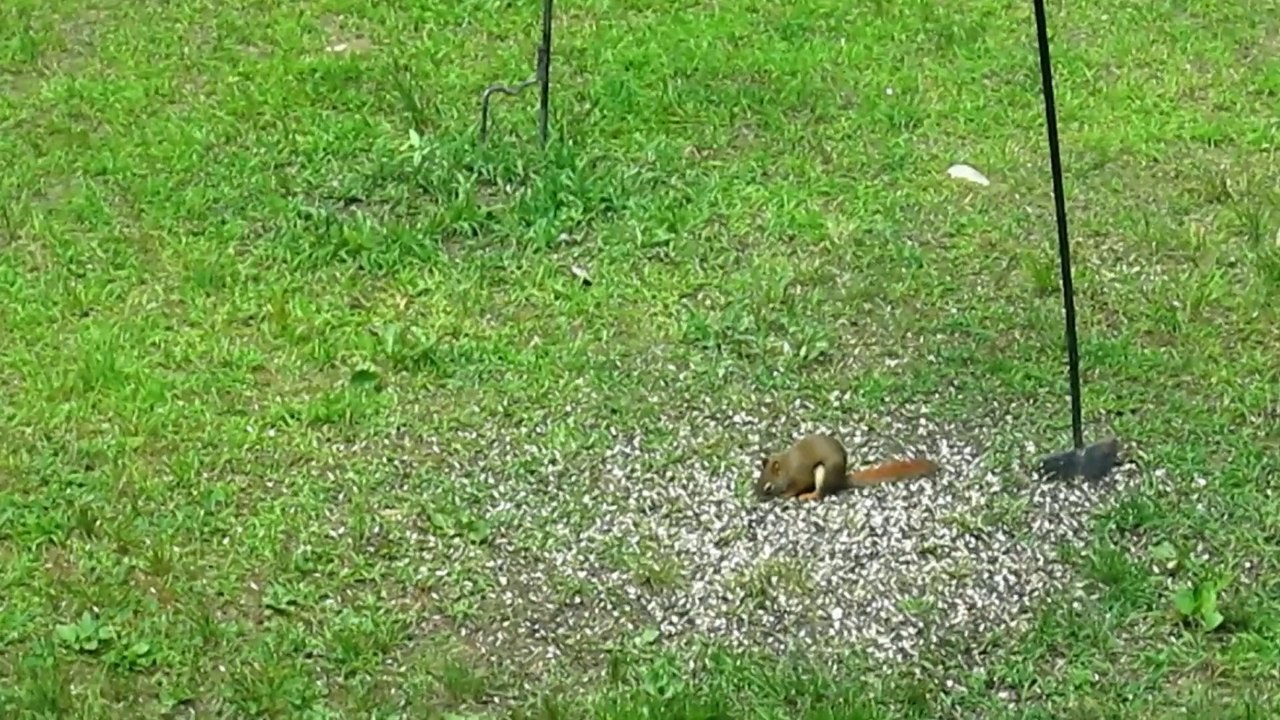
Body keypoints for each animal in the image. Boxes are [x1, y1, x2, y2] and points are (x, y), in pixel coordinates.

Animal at [754, 433, 939, 501]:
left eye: (768, 487)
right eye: (757, 482)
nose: (758, 498)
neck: (787, 467)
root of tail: (841, 479)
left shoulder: (799, 476)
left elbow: (796, 487)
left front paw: (786, 494)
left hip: (823, 473)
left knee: (821, 493)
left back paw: (809, 495)